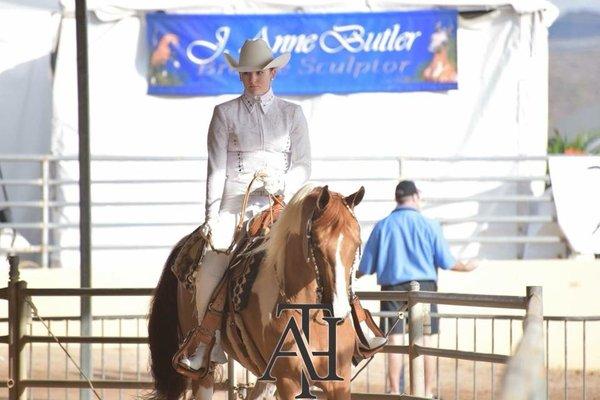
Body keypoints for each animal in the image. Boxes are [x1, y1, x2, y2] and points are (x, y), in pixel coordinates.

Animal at [149, 185, 366, 400]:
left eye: (357, 244)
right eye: (317, 244)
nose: (339, 309)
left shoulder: (339, 383)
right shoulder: (289, 382)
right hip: (204, 371)